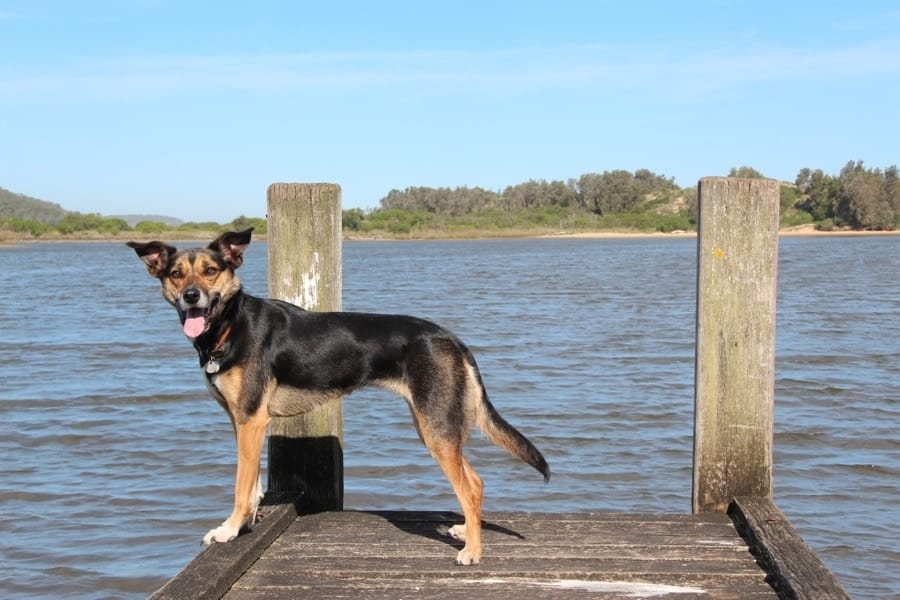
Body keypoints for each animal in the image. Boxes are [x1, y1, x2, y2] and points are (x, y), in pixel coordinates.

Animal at [126, 227, 548, 564]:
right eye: (176, 274)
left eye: (211, 271)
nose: (191, 296)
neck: (230, 325)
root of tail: (451, 337)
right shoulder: (244, 423)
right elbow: (254, 486)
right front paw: (244, 526)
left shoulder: (251, 421)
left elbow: (241, 488)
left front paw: (229, 530)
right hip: (433, 423)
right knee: (475, 481)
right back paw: (464, 530)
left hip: (436, 427)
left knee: (470, 487)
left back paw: (472, 551)